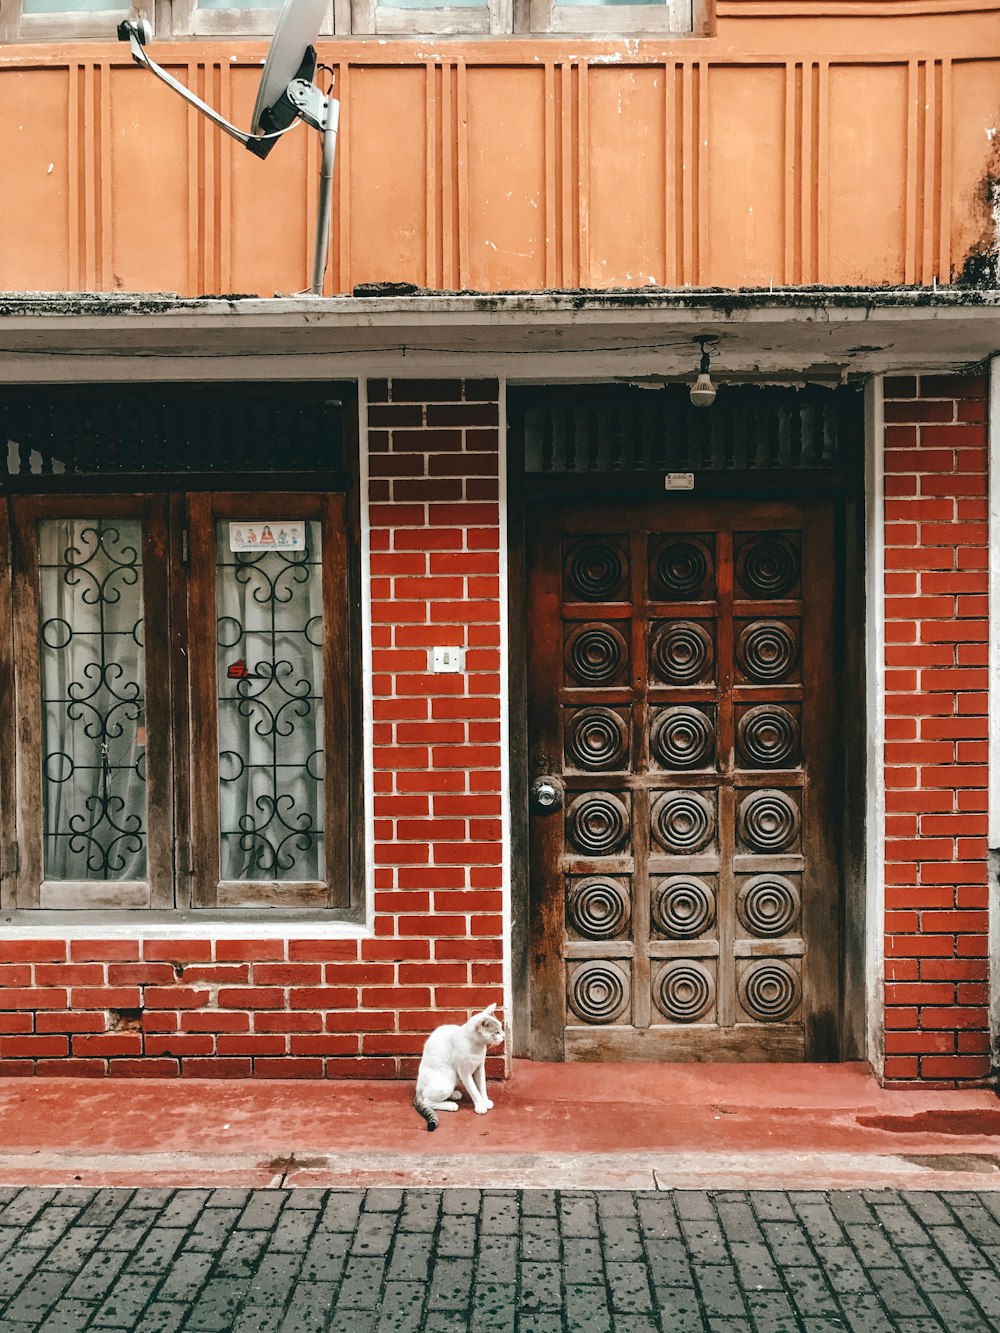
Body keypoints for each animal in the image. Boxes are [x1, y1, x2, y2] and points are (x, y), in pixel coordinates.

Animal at [416, 1002, 509, 1130]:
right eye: (496, 1032)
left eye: (501, 1029)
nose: (504, 1037)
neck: (477, 1047)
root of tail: (418, 1088)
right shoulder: (464, 1073)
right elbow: (474, 1090)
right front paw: (480, 1105)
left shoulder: (480, 1068)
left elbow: (482, 1087)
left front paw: (485, 1101)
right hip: (448, 1078)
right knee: (427, 1101)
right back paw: (451, 1105)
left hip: (454, 1077)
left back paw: (455, 1094)